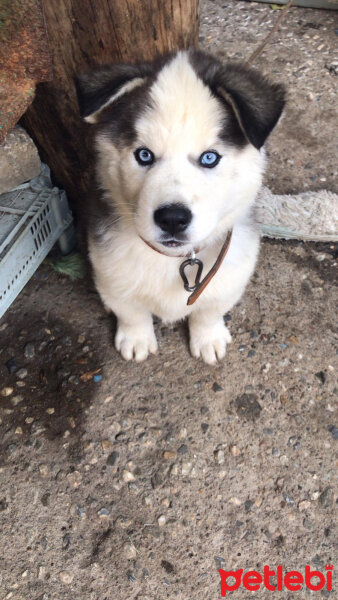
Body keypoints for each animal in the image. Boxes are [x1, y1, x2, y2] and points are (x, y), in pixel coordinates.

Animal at [75, 49, 284, 364]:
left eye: (209, 158)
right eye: (144, 155)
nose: (172, 218)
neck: (172, 260)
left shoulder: (231, 272)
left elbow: (209, 309)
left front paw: (208, 337)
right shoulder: (110, 269)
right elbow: (130, 310)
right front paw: (136, 338)